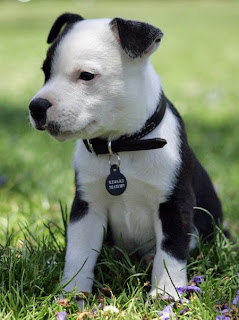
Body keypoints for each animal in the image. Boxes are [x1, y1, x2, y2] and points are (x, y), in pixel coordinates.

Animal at [29, 14, 222, 300]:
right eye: (45, 72)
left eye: (86, 76)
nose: (36, 107)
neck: (121, 146)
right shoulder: (87, 207)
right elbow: (78, 253)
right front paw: (72, 293)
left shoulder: (175, 204)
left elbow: (171, 252)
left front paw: (166, 294)